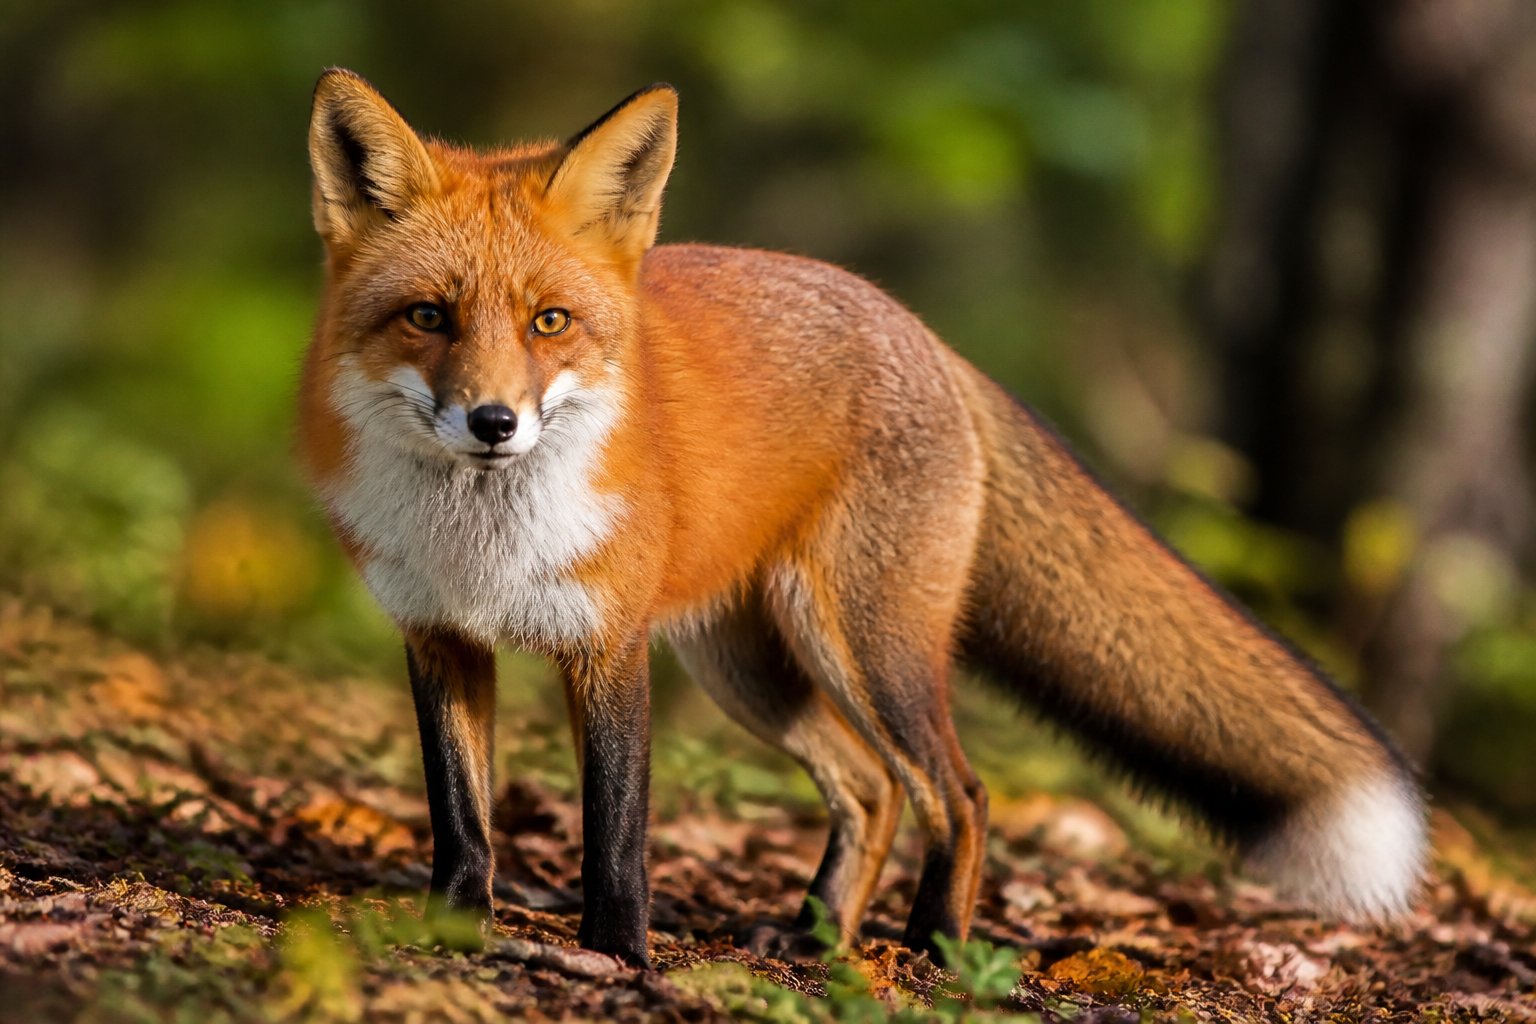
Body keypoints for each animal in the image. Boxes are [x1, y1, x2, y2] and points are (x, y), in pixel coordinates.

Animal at [298, 69, 1427, 967]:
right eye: (429, 316)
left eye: (549, 322)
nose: (494, 422)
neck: (481, 541)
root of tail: (923, 331)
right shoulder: (440, 635)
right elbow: (461, 817)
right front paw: (452, 926)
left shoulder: (609, 648)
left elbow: (615, 828)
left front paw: (616, 954)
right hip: (753, 668)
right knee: (874, 791)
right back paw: (819, 938)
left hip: (864, 646)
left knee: (957, 794)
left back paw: (934, 951)